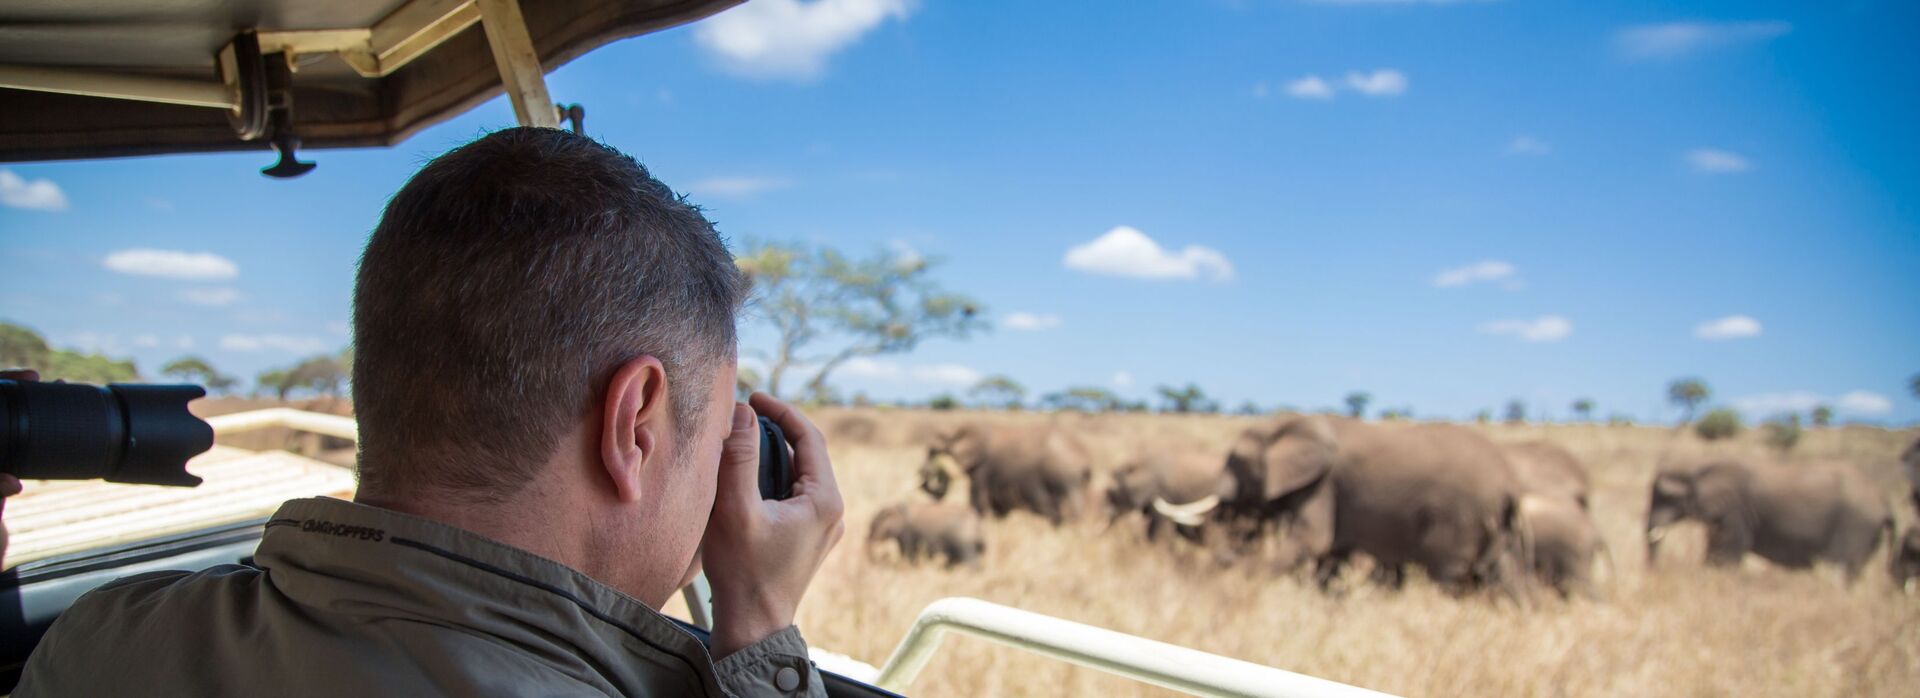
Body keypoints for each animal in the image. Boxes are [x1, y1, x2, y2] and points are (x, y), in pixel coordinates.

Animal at [917, 421, 1090, 525]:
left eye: (933, 449)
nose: (926, 474)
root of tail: (1084, 460)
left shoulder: (982, 469)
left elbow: (978, 503)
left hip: (1064, 477)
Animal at [1221, 414, 1520, 594]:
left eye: (1236, 461)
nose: (1228, 557)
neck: (1289, 420)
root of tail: (1508, 480)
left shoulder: (1324, 486)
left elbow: (1313, 541)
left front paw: (1239, 581)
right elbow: (1329, 553)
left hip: (1458, 517)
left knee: (1447, 575)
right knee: (1496, 574)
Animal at [1643, 458, 1896, 582]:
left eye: (1666, 498)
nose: (1654, 574)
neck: (1699, 469)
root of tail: (1884, 500)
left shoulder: (1736, 512)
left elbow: (1727, 554)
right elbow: (1714, 551)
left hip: (1856, 525)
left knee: (1841, 570)